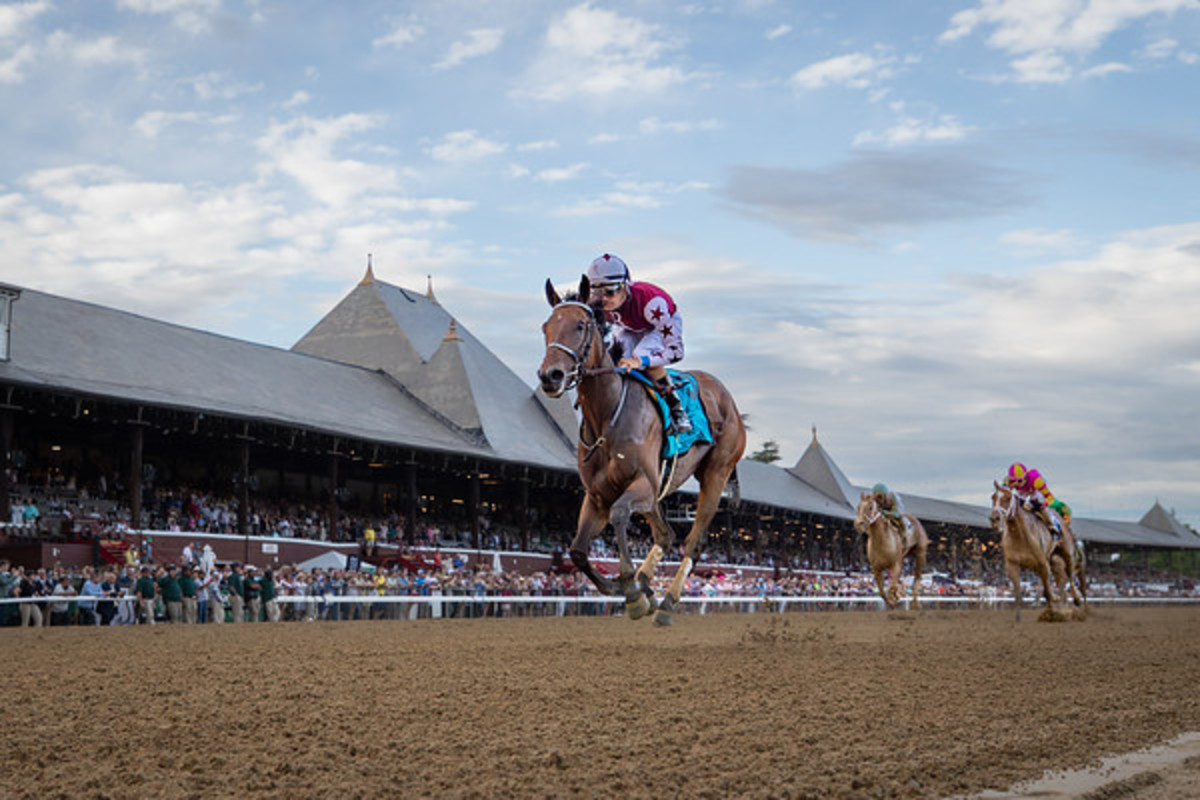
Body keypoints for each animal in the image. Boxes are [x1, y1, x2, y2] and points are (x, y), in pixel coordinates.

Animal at [540, 278, 744, 628]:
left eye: (580, 325)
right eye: (546, 327)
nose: (549, 376)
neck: (608, 414)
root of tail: (727, 398)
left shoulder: (643, 485)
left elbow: (621, 515)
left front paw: (631, 591)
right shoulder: (598, 495)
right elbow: (578, 550)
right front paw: (619, 586)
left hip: (716, 474)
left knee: (693, 542)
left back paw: (665, 602)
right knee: (666, 535)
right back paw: (648, 586)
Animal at [988, 479, 1084, 623]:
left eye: (1007, 498)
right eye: (993, 497)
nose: (995, 519)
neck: (1020, 536)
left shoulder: (1043, 565)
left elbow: (1048, 592)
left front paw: (1052, 614)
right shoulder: (1013, 565)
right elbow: (1018, 594)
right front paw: (1018, 619)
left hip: (1066, 554)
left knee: (1070, 575)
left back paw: (1076, 599)